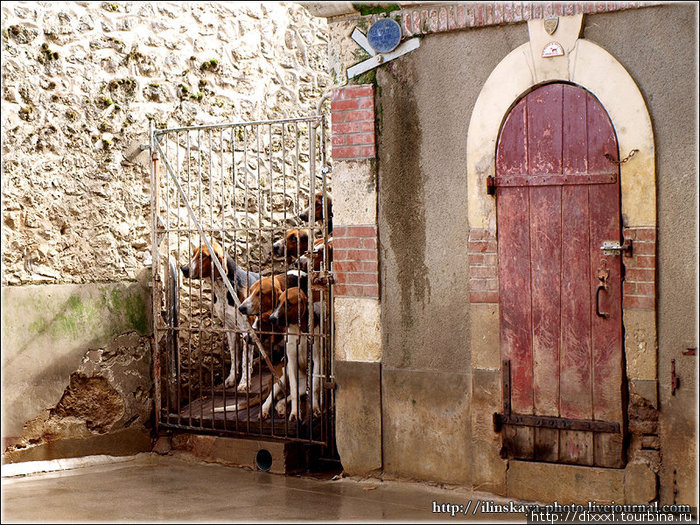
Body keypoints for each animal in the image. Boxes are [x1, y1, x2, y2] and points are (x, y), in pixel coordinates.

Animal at [180, 241, 260, 388]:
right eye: (192, 254)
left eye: (202, 256)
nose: (184, 269)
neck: (222, 288)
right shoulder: (230, 328)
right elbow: (234, 356)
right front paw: (232, 378)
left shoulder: (247, 330)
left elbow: (245, 361)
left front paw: (244, 383)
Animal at [260, 282, 320, 422]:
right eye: (278, 302)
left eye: (288, 303)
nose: (271, 318)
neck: (298, 329)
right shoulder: (292, 362)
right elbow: (293, 390)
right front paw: (295, 413)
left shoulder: (316, 359)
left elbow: (315, 387)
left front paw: (315, 409)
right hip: (280, 378)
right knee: (269, 399)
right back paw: (265, 411)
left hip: (302, 387)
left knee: (281, 400)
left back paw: (281, 408)